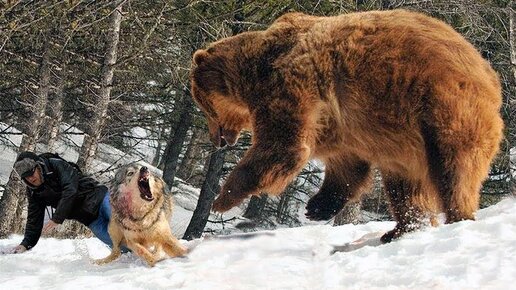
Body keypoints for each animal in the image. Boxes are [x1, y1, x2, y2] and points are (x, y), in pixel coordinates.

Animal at [189, 9, 504, 242]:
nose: (218, 139)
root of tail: (491, 78)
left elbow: (282, 146)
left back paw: (457, 217)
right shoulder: (342, 124)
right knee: (405, 185)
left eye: (203, 105)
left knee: (454, 170)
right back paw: (401, 229)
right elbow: (347, 164)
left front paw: (222, 197)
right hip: (406, 139)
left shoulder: (291, 86)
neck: (255, 70)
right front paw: (317, 206)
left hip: (443, 108)